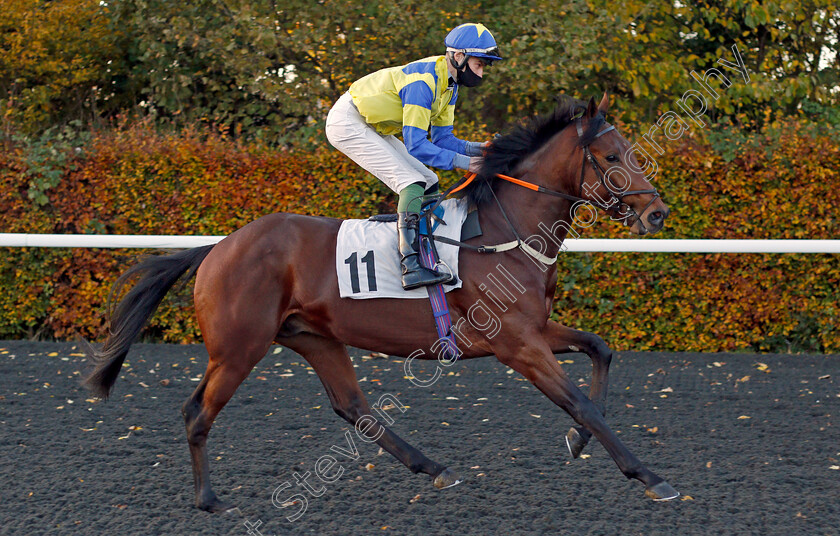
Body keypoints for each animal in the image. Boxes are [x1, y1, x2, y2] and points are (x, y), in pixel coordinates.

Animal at [82, 94, 680, 512]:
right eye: (611, 156)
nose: (657, 213)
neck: (502, 231)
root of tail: (218, 247)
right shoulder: (517, 343)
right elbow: (578, 400)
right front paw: (649, 476)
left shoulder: (535, 329)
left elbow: (600, 350)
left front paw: (578, 443)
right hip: (238, 348)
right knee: (197, 411)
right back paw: (208, 500)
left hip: (314, 338)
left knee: (354, 407)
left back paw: (433, 467)